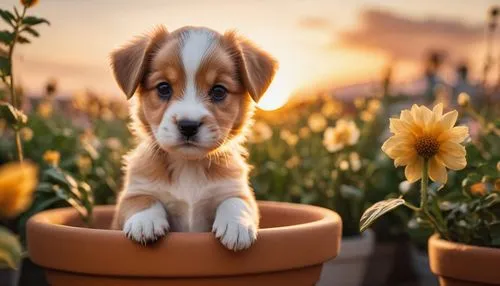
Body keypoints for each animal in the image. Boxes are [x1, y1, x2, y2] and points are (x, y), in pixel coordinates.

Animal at [109, 25, 278, 251]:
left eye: (218, 91)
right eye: (163, 88)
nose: (188, 126)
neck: (188, 166)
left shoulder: (238, 190)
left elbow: (235, 202)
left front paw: (237, 226)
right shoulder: (132, 194)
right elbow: (141, 200)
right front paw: (145, 222)